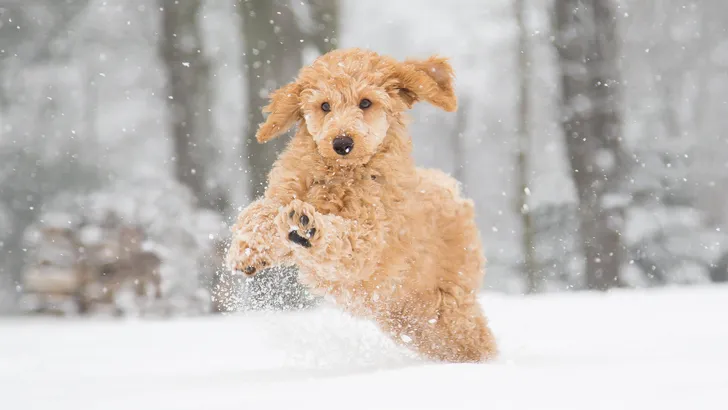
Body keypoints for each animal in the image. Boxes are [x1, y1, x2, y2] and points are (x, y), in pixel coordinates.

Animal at [228, 47, 498, 362]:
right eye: (325, 106)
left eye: (366, 102)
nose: (342, 143)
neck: (340, 175)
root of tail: (452, 191)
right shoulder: (286, 192)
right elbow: (260, 212)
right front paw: (246, 251)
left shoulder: (370, 238)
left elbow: (345, 238)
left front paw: (308, 227)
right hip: (407, 318)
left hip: (449, 304)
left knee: (474, 338)